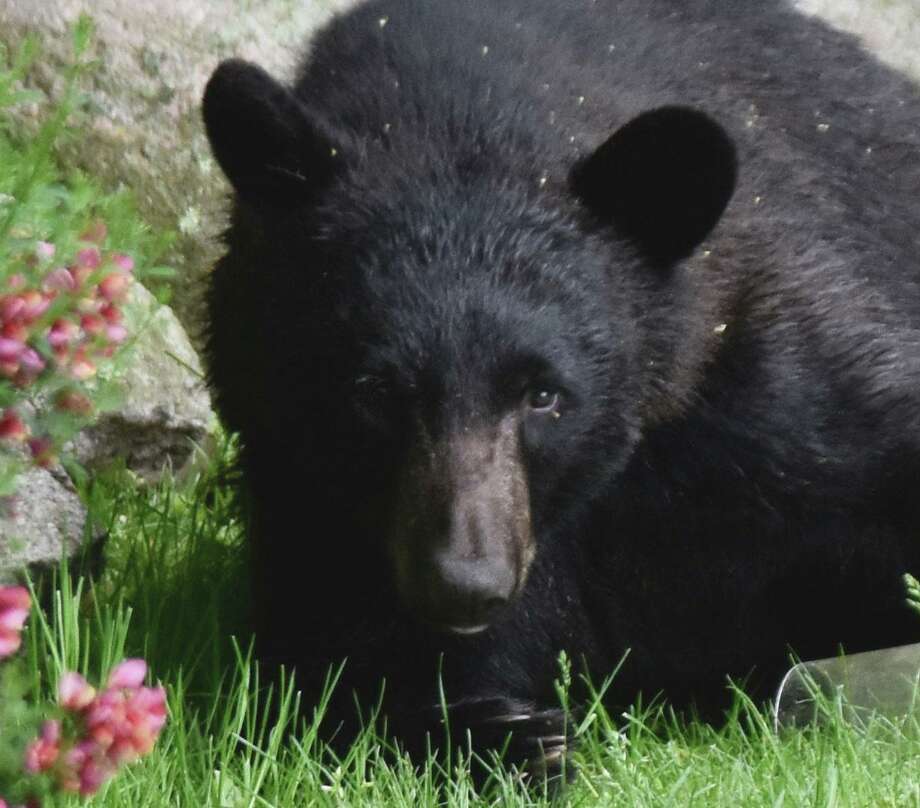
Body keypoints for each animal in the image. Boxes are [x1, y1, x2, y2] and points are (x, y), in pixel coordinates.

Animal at [202, 0, 920, 774]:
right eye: (376, 390)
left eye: (543, 394)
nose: (463, 584)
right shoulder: (293, 464)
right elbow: (328, 661)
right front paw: (502, 732)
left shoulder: (770, 376)